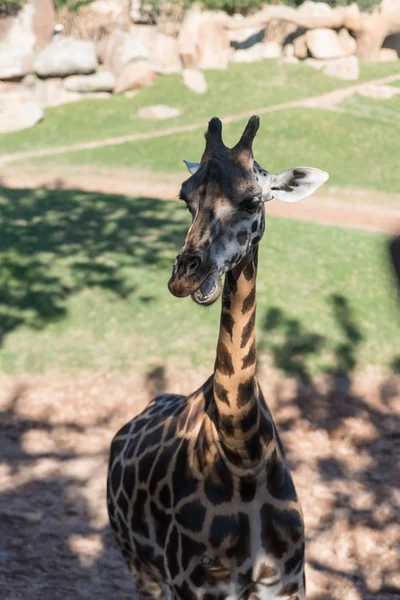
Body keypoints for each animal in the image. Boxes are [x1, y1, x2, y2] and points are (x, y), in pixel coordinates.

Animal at [107, 115, 328, 596]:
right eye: (185, 198)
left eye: (251, 200)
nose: (185, 276)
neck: (243, 453)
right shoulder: (197, 588)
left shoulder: (287, 583)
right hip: (139, 566)